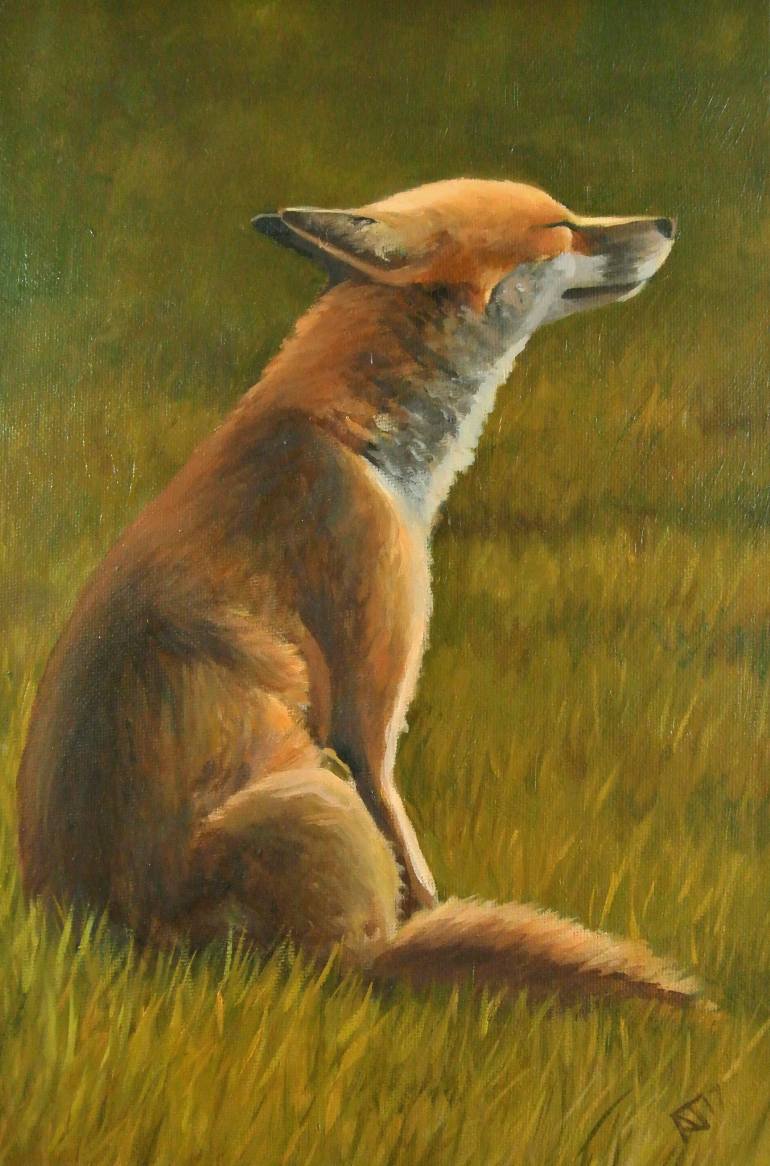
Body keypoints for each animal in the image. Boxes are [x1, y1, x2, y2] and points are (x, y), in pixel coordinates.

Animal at [17, 177, 704, 1008]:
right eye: (560, 226)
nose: (668, 221)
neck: (359, 439)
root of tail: (116, 939)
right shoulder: (367, 715)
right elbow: (411, 850)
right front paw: (439, 906)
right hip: (322, 798)